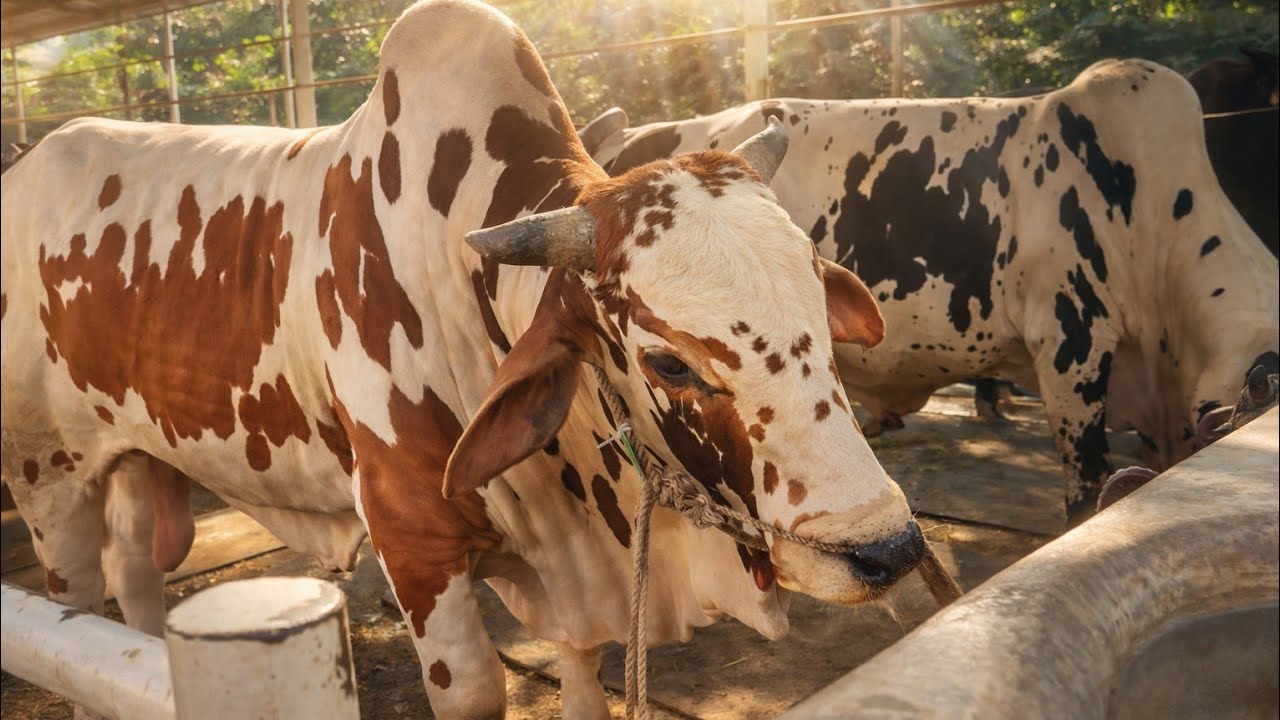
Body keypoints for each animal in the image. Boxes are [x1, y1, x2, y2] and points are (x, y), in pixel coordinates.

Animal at [1, 1, 925, 717]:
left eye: (818, 308)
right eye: (669, 364)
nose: (885, 549)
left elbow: (581, 674)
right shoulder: (411, 538)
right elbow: (477, 688)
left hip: (131, 454)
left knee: (133, 577)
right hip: (45, 475)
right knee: (75, 597)